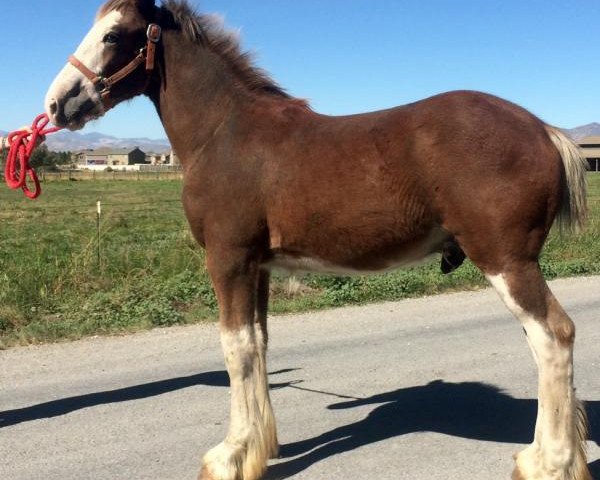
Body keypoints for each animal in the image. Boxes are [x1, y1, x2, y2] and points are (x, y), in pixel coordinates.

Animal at [44, 0, 588, 480]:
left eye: (113, 34)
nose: (56, 103)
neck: (225, 132)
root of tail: (544, 129)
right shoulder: (258, 267)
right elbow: (259, 343)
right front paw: (260, 446)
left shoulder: (228, 260)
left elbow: (234, 348)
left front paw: (229, 456)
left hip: (506, 261)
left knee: (554, 336)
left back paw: (550, 463)